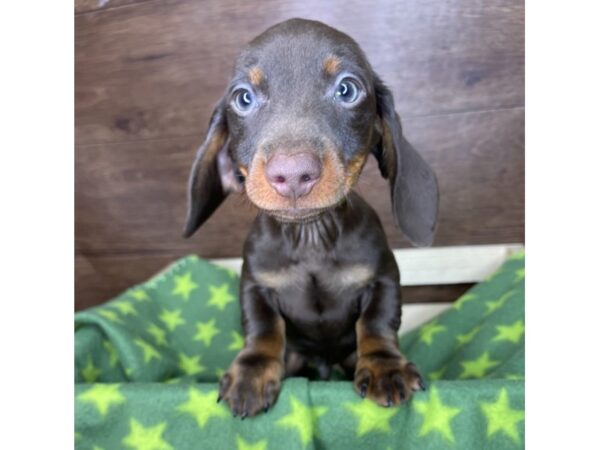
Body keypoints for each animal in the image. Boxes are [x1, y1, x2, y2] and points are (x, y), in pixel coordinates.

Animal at [185, 18, 438, 418]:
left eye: (347, 89)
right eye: (243, 98)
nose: (292, 173)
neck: (310, 238)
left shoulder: (382, 276)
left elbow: (377, 321)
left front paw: (384, 366)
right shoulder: (255, 285)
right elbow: (263, 327)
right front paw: (252, 371)